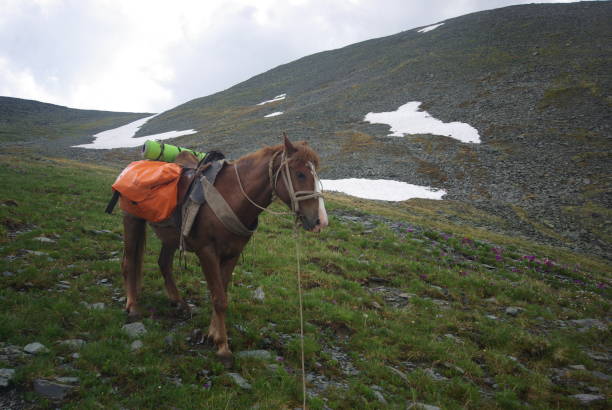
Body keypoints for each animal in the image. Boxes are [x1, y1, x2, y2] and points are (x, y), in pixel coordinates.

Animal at [121, 135, 328, 366]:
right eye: (300, 174)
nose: (321, 221)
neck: (232, 196)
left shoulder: (232, 254)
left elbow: (221, 292)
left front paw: (213, 334)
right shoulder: (207, 252)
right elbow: (219, 298)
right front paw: (222, 347)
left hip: (171, 237)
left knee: (164, 263)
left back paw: (178, 302)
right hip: (132, 220)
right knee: (129, 262)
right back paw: (133, 307)